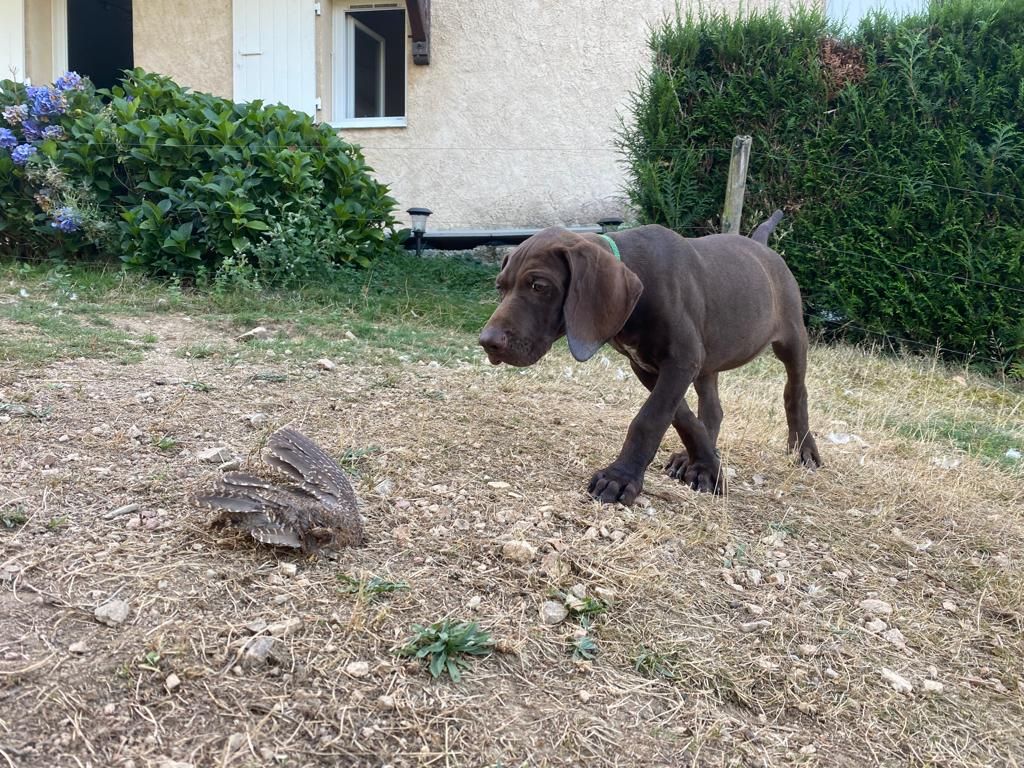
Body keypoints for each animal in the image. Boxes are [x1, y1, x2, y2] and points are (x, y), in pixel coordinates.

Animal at [479, 215, 823, 505]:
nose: (487, 342)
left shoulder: (681, 359)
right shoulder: (647, 366)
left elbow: (651, 418)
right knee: (712, 408)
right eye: (500, 287)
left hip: (792, 339)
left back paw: (804, 449)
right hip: (707, 360)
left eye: (539, 285)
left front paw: (621, 478)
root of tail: (762, 245)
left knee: (796, 392)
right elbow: (682, 416)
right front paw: (707, 464)